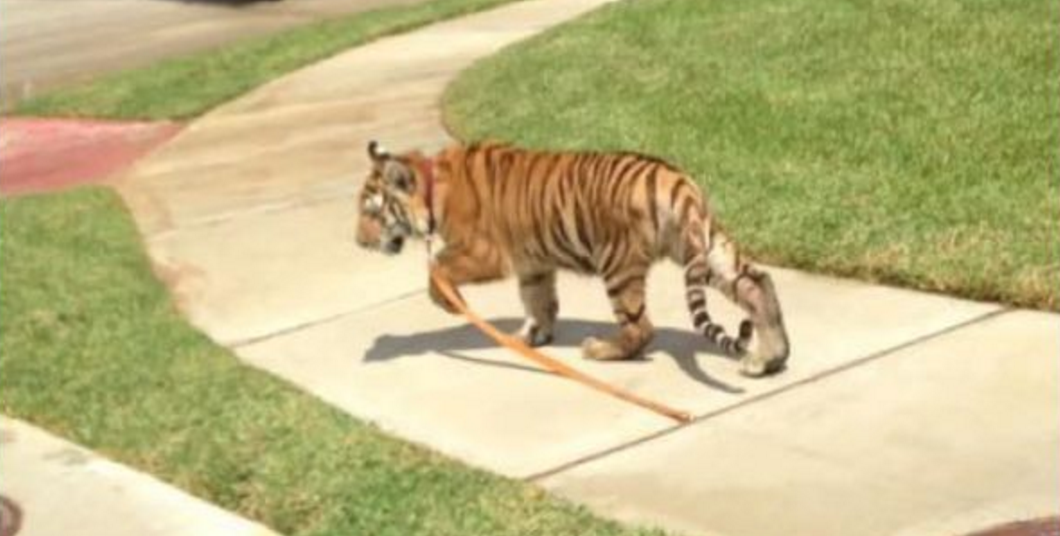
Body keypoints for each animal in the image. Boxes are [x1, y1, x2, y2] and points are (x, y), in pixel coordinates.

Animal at [356, 139, 788, 374]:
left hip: (618, 264)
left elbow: (437, 269)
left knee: (641, 328)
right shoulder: (532, 263)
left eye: (370, 213)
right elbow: (538, 300)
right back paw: (769, 359)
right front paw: (534, 336)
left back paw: (600, 350)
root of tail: (676, 179)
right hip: (704, 247)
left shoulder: (485, 253)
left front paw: (447, 301)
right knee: (757, 283)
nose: (359, 242)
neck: (429, 188)